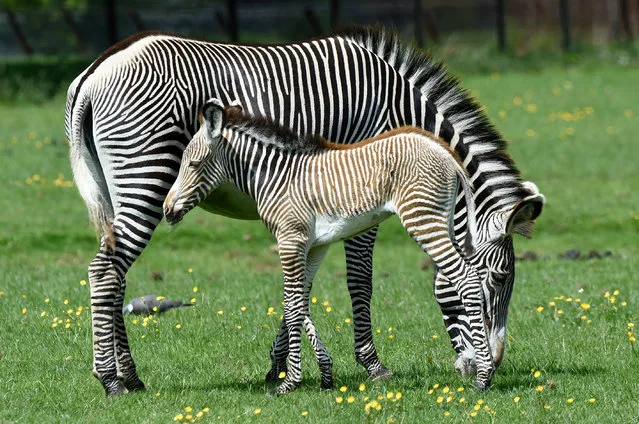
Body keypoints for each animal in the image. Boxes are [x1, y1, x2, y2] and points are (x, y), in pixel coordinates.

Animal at [165, 97, 496, 392]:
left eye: (193, 163)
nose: (168, 211)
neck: (275, 176)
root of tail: (446, 153)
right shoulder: (313, 245)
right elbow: (299, 302)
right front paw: (324, 373)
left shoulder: (290, 240)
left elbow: (292, 305)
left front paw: (290, 382)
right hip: (444, 221)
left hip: (423, 219)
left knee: (466, 278)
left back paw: (484, 377)